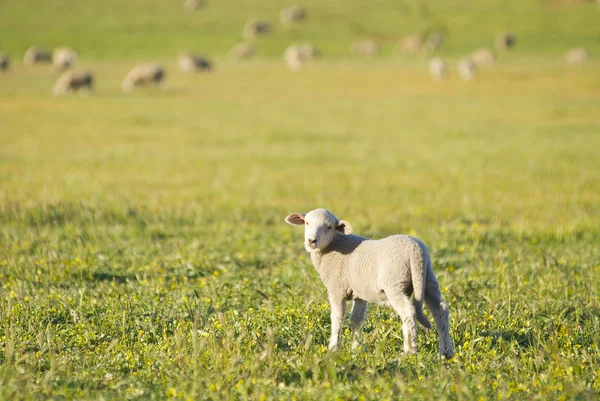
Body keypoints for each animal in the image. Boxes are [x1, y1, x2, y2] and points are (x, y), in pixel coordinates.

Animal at [286, 208, 454, 358]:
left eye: (329, 227)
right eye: (307, 223)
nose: (311, 241)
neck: (335, 245)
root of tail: (416, 251)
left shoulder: (336, 289)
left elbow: (337, 317)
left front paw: (333, 348)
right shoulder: (360, 293)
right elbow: (356, 319)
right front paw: (356, 348)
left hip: (395, 283)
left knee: (408, 312)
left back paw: (409, 352)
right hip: (428, 279)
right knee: (441, 310)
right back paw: (446, 352)